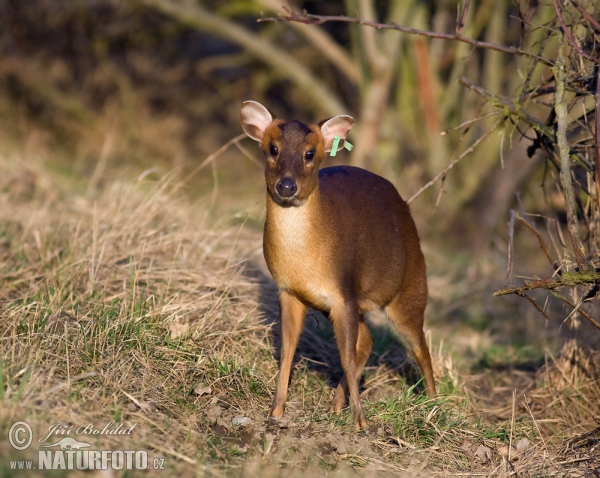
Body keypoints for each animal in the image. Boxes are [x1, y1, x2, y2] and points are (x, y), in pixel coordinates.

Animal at [240, 101, 436, 430]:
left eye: (310, 154)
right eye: (273, 148)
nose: (286, 186)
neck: (304, 261)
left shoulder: (344, 290)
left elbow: (345, 355)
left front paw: (361, 422)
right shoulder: (290, 292)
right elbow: (287, 351)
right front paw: (275, 411)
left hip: (410, 288)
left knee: (419, 345)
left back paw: (436, 406)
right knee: (368, 341)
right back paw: (335, 405)